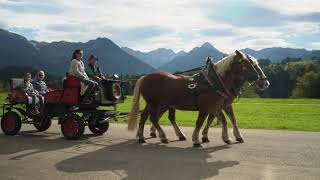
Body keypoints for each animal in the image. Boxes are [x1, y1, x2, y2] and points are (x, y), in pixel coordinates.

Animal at [127, 50, 260, 147]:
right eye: (244, 64)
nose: (257, 76)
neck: (214, 83)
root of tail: (145, 77)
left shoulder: (216, 107)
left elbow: (224, 120)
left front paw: (226, 137)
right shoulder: (206, 108)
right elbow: (200, 122)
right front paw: (196, 140)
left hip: (154, 104)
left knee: (145, 117)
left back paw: (142, 137)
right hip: (156, 104)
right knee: (153, 118)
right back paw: (163, 137)